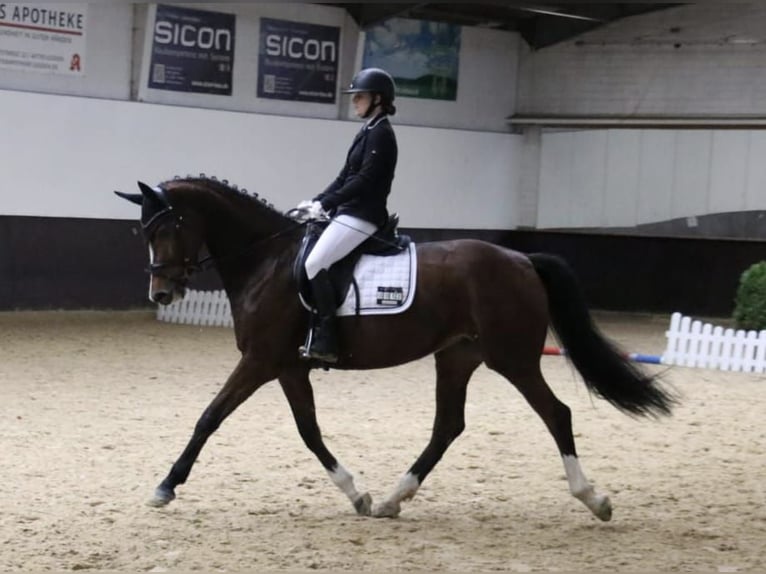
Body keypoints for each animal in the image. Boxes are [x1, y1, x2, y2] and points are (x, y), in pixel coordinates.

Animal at [115, 176, 676, 521]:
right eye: (143, 231)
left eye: (169, 226)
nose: (161, 294)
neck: (266, 261)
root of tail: (521, 259)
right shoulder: (288, 368)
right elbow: (309, 432)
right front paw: (358, 494)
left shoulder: (260, 361)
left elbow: (209, 418)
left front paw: (165, 487)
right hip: (458, 356)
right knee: (448, 427)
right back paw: (391, 499)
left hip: (512, 358)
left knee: (556, 414)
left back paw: (593, 499)